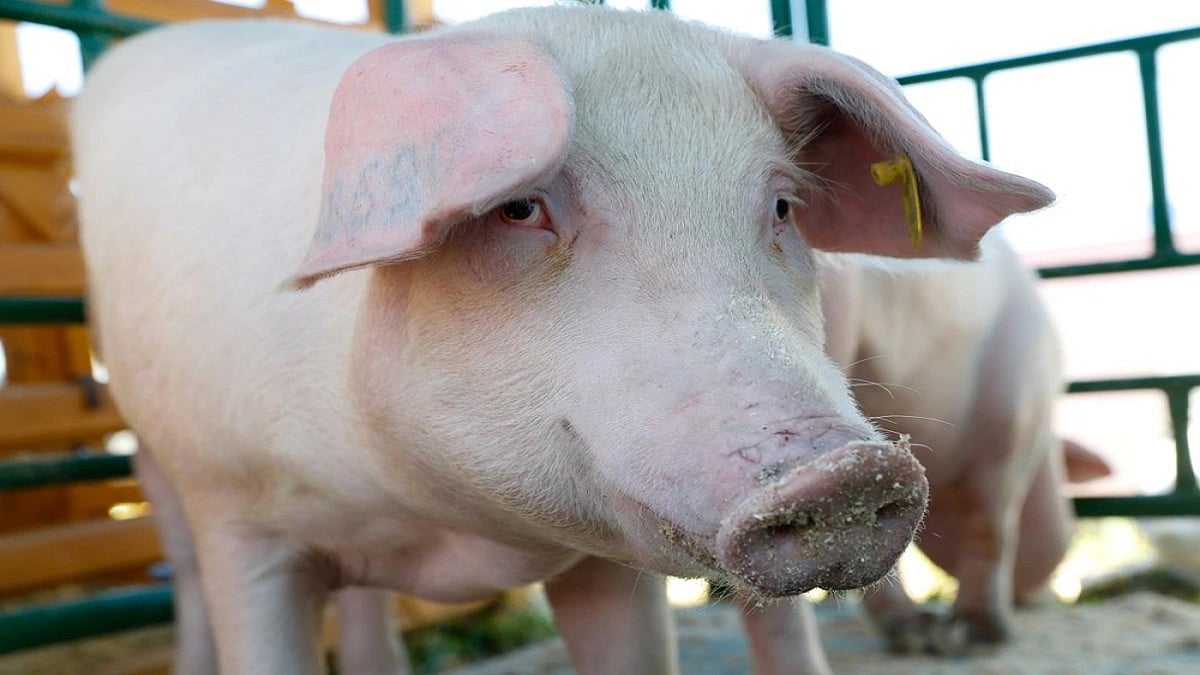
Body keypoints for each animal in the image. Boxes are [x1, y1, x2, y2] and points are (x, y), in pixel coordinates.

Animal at [72, 5, 1053, 673]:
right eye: (518, 208)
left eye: (781, 206)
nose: (849, 470)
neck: (445, 523)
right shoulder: (240, 511)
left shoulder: (603, 564)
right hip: (151, 448)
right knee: (186, 567)